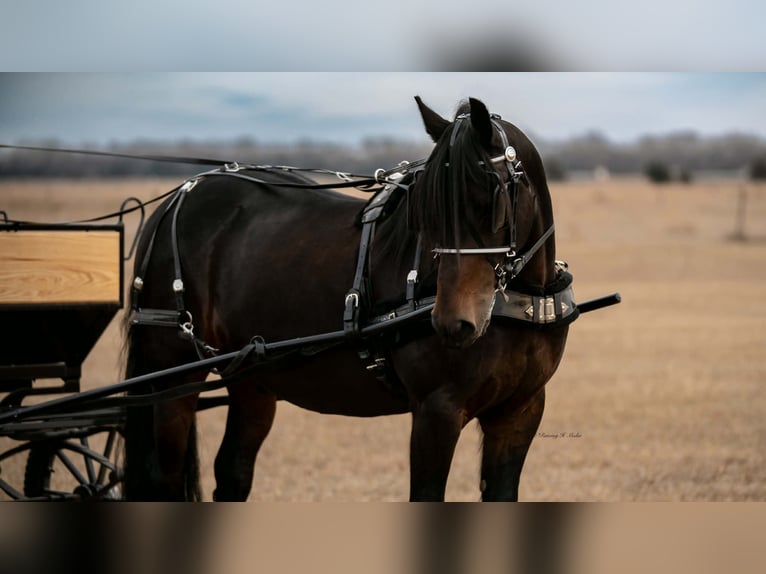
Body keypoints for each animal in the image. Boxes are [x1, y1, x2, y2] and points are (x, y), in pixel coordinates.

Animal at [123, 96, 574, 501]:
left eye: (490, 199)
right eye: (427, 210)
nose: (453, 323)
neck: (519, 300)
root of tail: (178, 196)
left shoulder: (520, 412)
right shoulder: (436, 411)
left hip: (253, 376)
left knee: (233, 472)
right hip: (171, 374)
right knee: (164, 478)